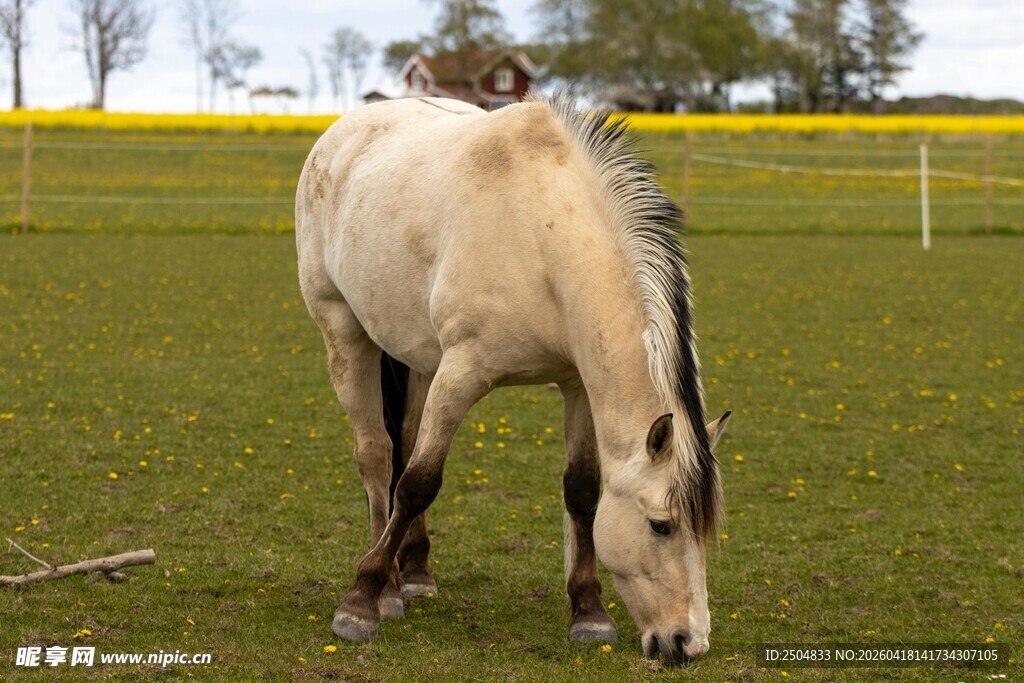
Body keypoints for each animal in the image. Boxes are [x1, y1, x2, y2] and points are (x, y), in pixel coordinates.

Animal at [295, 91, 731, 664]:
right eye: (661, 525)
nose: (688, 642)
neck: (542, 238)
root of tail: (341, 133)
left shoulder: (577, 385)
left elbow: (582, 490)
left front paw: (589, 611)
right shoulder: (460, 373)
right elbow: (417, 484)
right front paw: (359, 602)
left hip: (416, 353)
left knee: (403, 440)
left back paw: (415, 572)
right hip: (343, 329)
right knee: (378, 455)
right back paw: (385, 588)